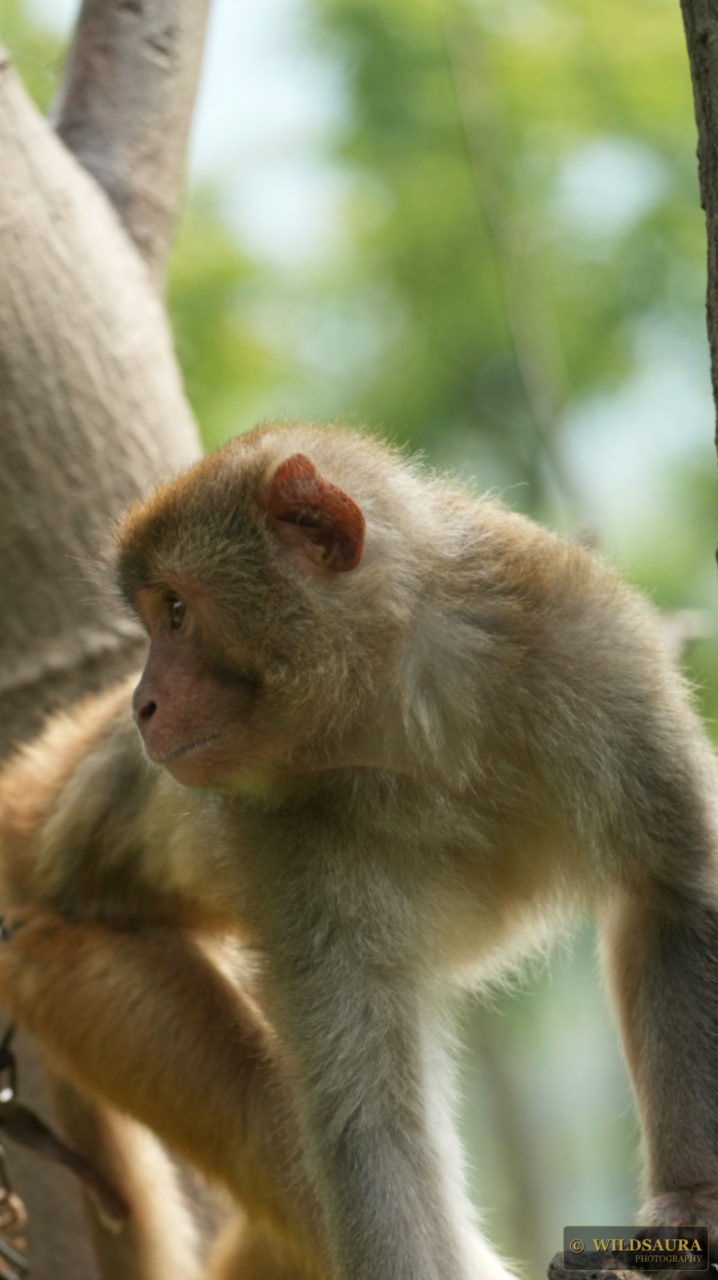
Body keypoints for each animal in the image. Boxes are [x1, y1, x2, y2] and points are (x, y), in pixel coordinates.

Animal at [0, 419, 717, 1280]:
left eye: (174, 610)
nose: (142, 703)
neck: (405, 711)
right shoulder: (285, 838)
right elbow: (371, 1127)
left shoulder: (588, 643)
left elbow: (669, 893)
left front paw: (688, 1203)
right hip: (68, 971)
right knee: (264, 1113)